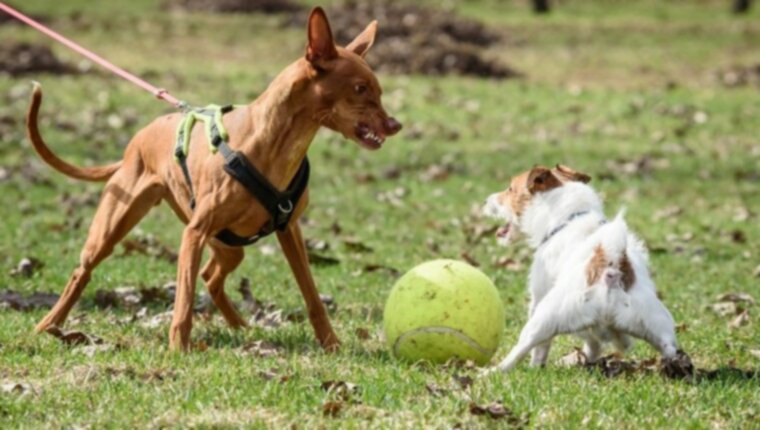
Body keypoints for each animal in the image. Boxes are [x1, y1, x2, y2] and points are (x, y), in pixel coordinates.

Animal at [26, 7, 400, 350]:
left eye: (379, 91)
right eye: (360, 88)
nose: (395, 125)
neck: (275, 143)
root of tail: (136, 142)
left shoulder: (289, 229)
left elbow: (312, 296)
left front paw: (331, 343)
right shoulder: (194, 233)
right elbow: (183, 301)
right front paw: (178, 349)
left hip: (229, 246)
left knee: (211, 277)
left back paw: (240, 326)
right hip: (113, 228)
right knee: (82, 272)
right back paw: (48, 325)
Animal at [480, 165, 676, 372]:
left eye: (510, 189)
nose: (485, 200)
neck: (568, 218)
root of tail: (610, 270)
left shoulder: (538, 294)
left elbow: (541, 349)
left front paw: (535, 367)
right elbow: (593, 343)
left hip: (543, 319)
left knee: (521, 350)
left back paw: (493, 371)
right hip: (657, 326)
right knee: (669, 349)